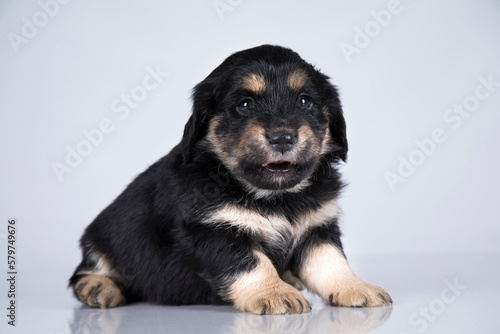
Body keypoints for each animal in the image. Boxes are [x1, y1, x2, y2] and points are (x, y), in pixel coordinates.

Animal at [69, 45, 390, 316]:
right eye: (245, 104)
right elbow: (252, 263)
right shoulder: (214, 230)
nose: (283, 137)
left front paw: (356, 288)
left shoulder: (317, 228)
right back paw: (98, 287)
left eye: (304, 101)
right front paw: (274, 293)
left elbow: (331, 263)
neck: (274, 196)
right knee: (87, 271)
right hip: (105, 236)